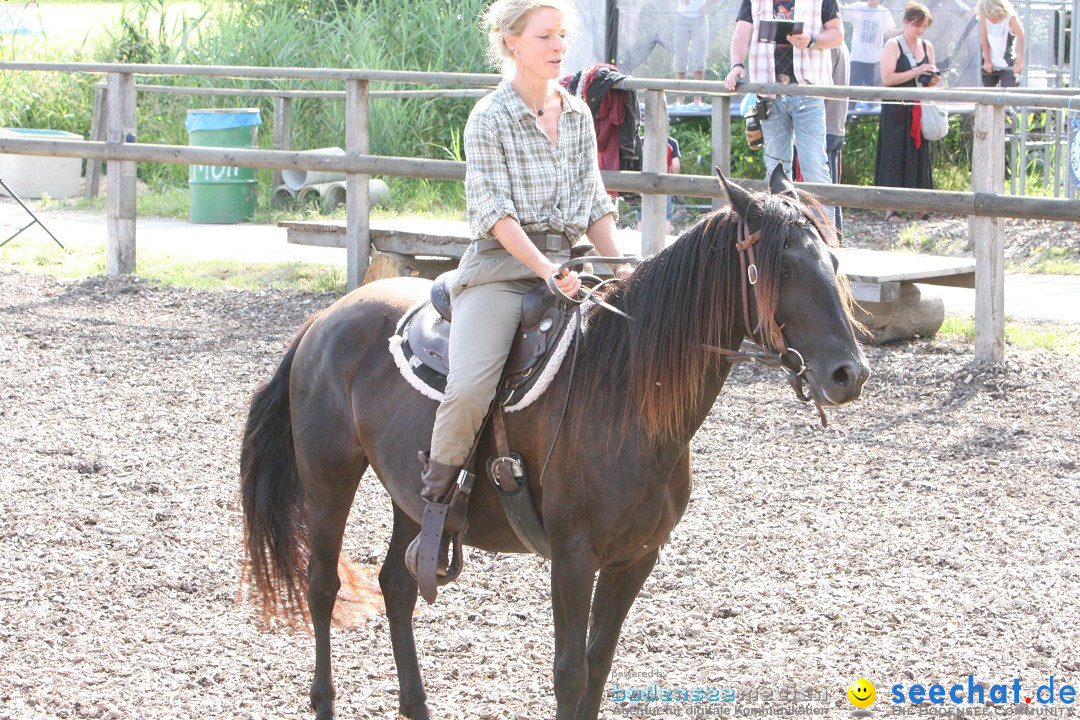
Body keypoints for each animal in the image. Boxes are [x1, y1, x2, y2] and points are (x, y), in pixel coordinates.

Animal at [238, 171, 868, 716]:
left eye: (834, 261)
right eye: (782, 267)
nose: (849, 374)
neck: (624, 392)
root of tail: (324, 319)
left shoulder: (636, 557)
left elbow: (598, 664)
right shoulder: (572, 556)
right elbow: (570, 673)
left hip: (410, 497)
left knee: (397, 586)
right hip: (328, 479)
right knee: (322, 587)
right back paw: (324, 700)